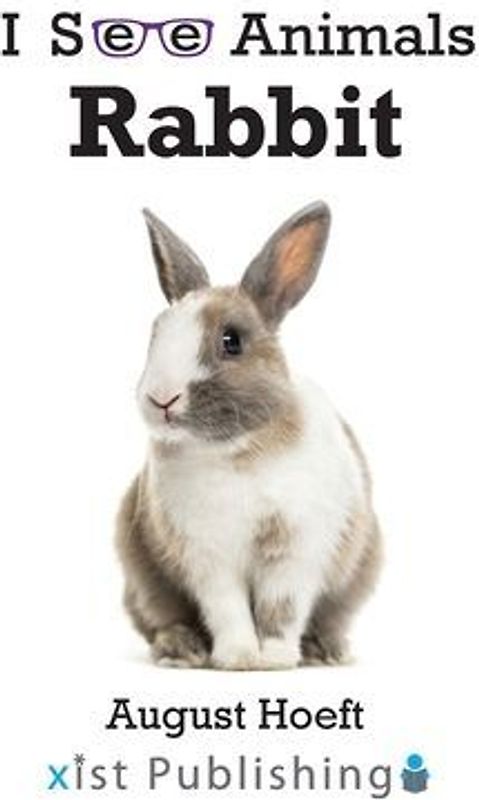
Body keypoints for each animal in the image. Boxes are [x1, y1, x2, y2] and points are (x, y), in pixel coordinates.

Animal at [116, 201, 382, 670]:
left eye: (231, 341)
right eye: (155, 334)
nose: (161, 398)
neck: (236, 451)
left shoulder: (295, 551)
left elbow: (282, 609)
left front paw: (274, 658)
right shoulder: (209, 557)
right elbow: (228, 609)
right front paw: (239, 657)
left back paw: (327, 651)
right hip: (143, 578)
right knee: (160, 619)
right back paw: (182, 650)